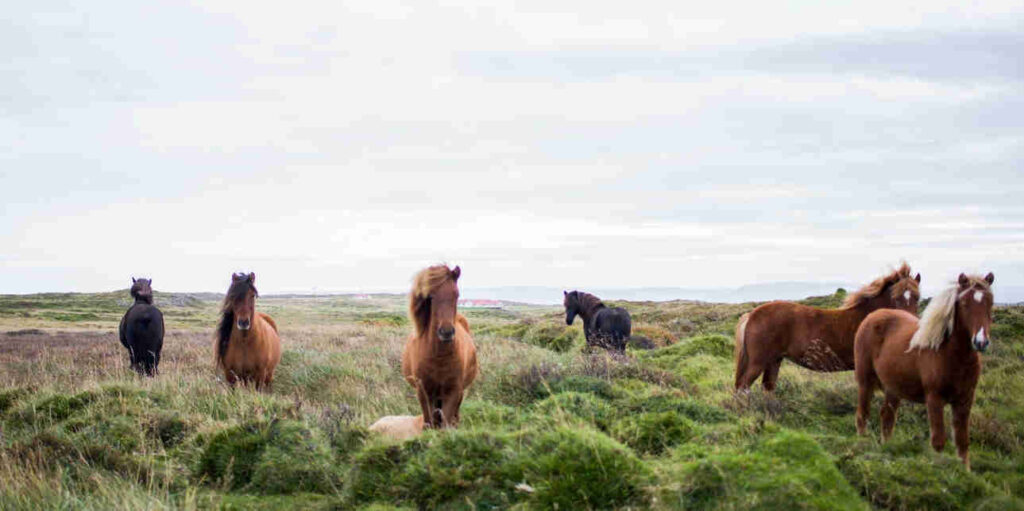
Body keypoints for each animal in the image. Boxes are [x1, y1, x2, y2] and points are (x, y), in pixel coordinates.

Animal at [401, 266, 477, 430]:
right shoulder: (424, 392)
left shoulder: (453, 392)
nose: (446, 332)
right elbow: (429, 423)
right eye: (431, 296)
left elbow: (445, 424)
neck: (439, 357)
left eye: (456, 294)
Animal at [733, 264, 925, 391]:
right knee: (743, 386)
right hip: (758, 361)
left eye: (917, 297)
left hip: (774, 360)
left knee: (767, 387)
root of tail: (752, 315)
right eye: (896, 298)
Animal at [851, 274, 995, 469]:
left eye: (990, 302)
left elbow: (962, 441)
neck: (950, 354)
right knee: (863, 415)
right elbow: (938, 441)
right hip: (865, 382)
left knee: (887, 417)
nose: (981, 342)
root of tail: (872, 316)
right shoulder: (934, 399)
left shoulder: (965, 399)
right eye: (965, 303)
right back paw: (862, 444)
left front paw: (965, 472)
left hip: (893, 389)